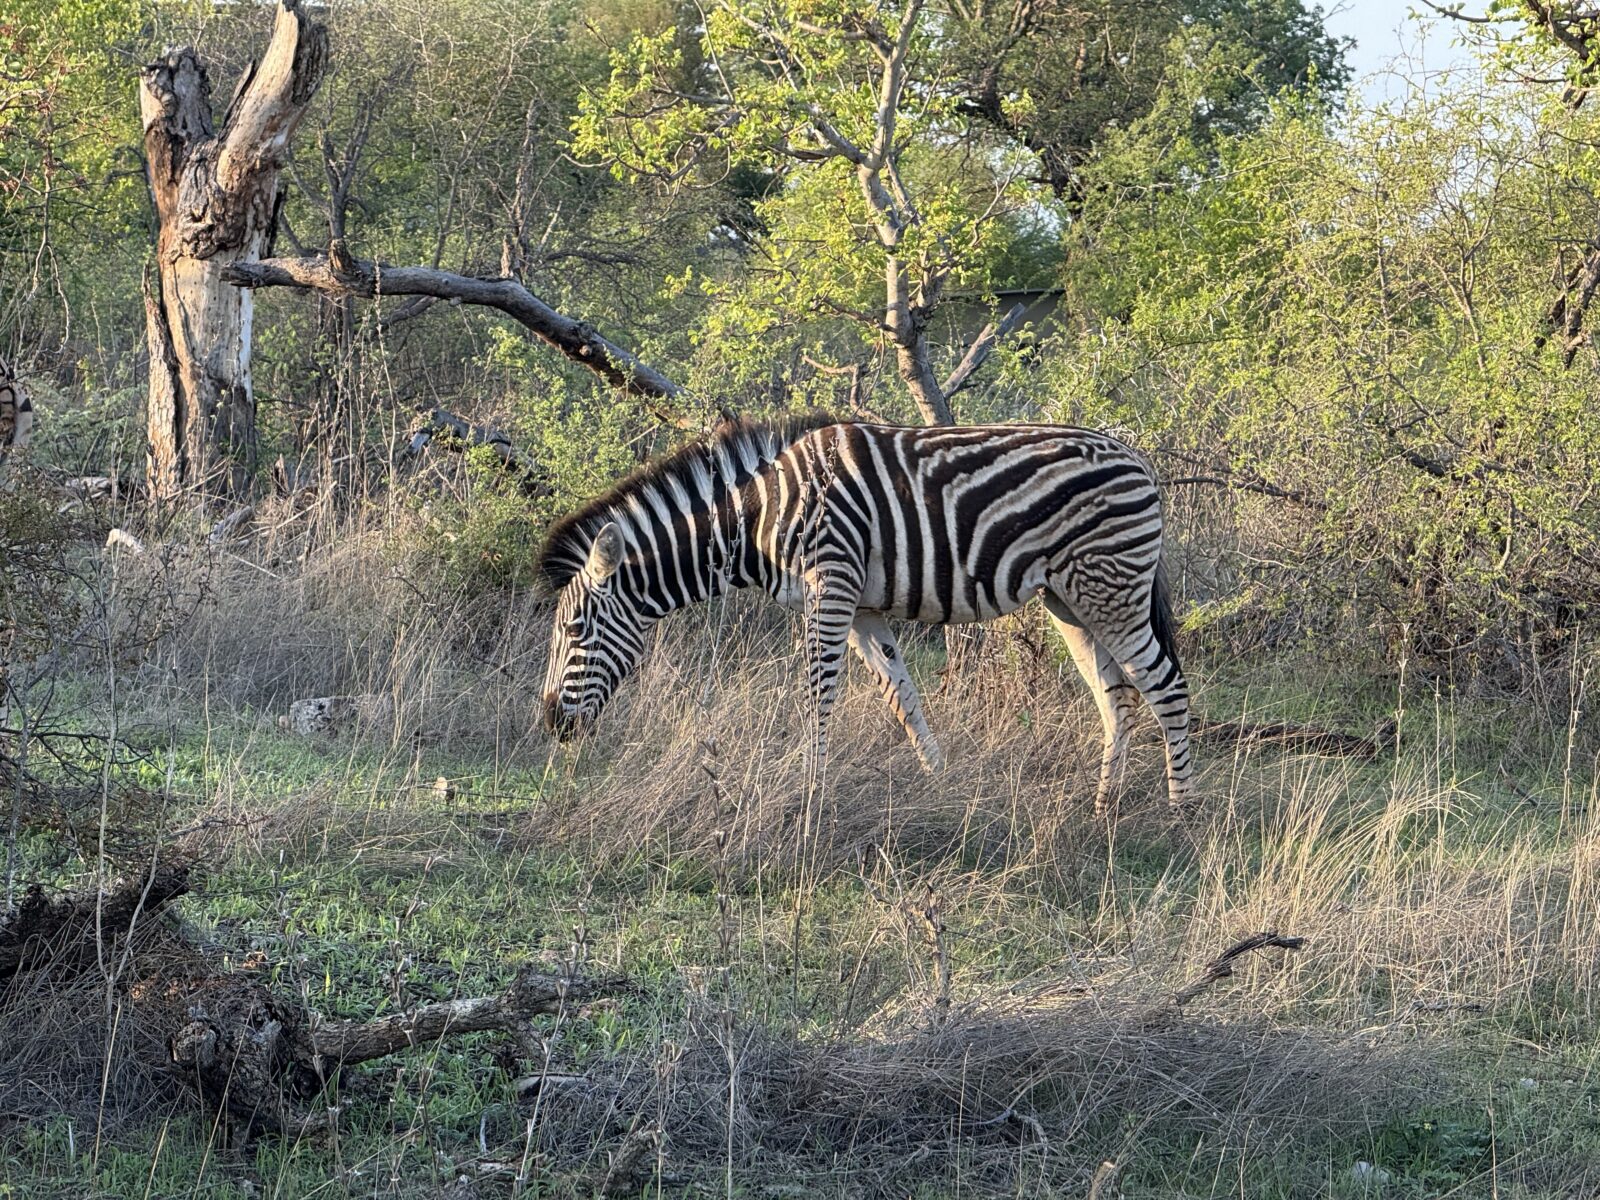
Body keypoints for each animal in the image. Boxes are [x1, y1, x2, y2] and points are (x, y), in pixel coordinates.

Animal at [538, 415, 1192, 814]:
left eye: (574, 630)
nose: (552, 724)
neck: (759, 519)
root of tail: (1136, 457)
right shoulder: (862, 610)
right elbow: (902, 696)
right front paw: (940, 785)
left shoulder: (831, 585)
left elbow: (818, 695)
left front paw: (809, 797)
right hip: (1071, 601)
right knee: (1118, 697)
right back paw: (1104, 808)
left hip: (1112, 587)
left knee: (1167, 686)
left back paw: (1179, 809)